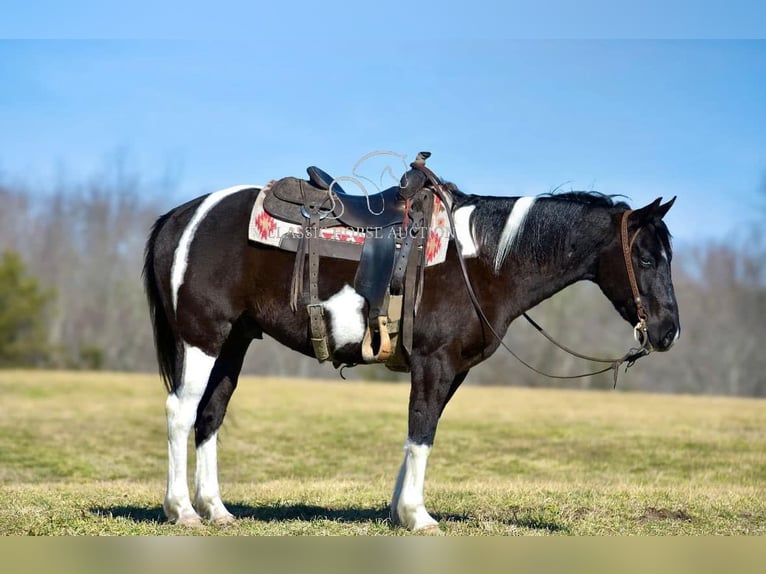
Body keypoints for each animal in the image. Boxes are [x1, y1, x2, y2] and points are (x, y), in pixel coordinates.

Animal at [142, 182, 680, 532]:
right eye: (646, 258)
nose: (668, 331)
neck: (479, 260)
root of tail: (181, 216)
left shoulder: (451, 370)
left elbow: (419, 431)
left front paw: (398, 510)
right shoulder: (434, 363)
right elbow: (422, 433)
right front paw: (417, 516)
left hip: (233, 341)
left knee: (210, 414)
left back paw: (216, 509)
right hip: (203, 337)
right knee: (180, 411)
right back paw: (182, 510)